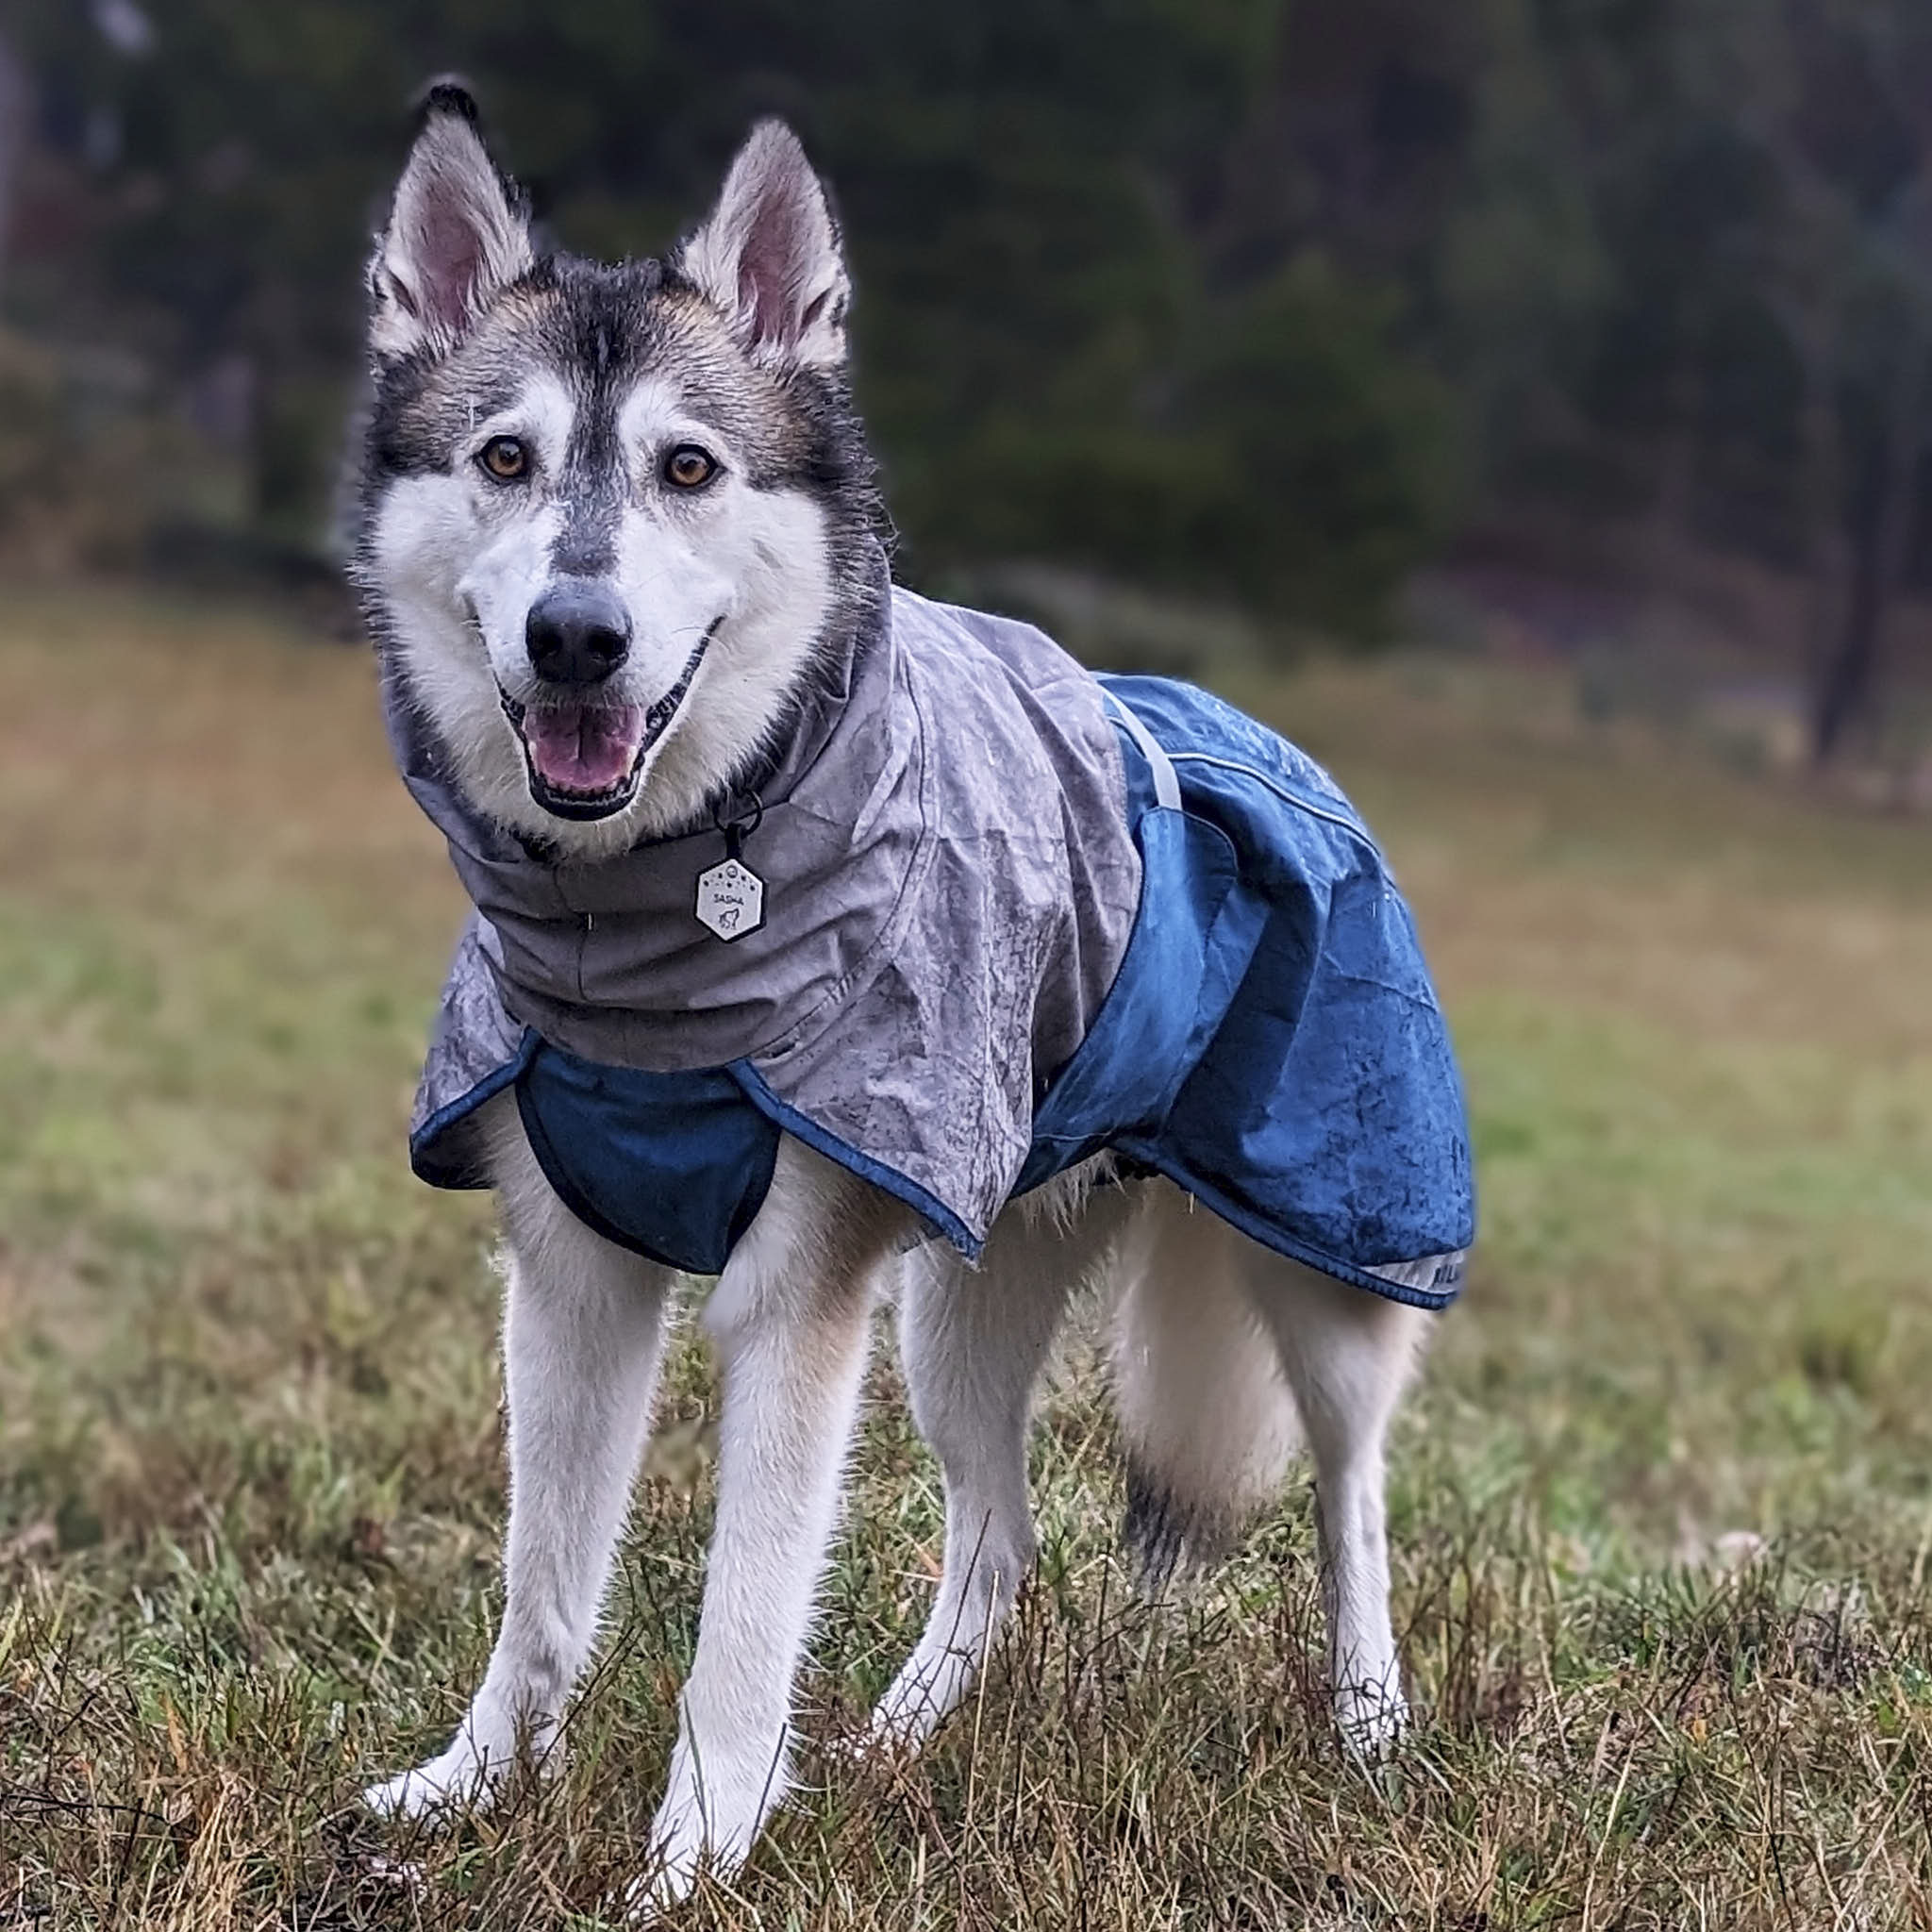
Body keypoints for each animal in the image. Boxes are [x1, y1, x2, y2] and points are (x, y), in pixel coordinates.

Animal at [355, 83, 1468, 1908]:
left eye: (687, 466)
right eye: (503, 458)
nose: (576, 636)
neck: (650, 920)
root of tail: (1254, 722)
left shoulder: (795, 1301)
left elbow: (739, 1628)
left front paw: (692, 1863)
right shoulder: (571, 1279)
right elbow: (540, 1589)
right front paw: (470, 1789)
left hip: (1325, 1259)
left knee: (1349, 1499)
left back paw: (1368, 1728)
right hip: (955, 1303)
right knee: (1003, 1539)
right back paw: (894, 1740)